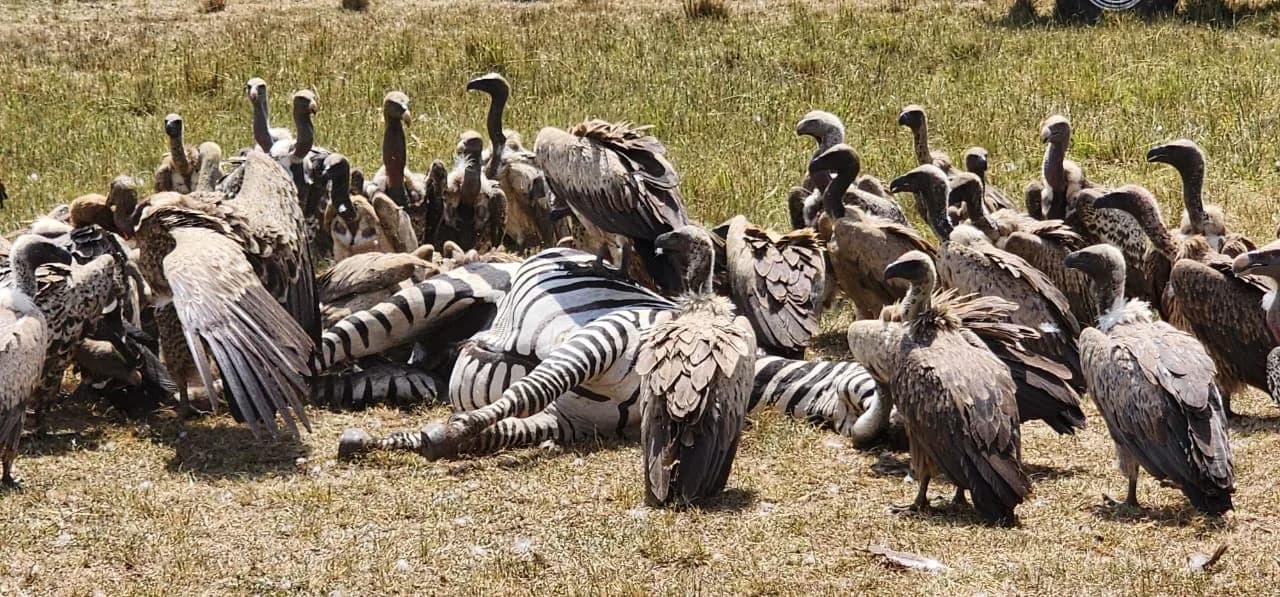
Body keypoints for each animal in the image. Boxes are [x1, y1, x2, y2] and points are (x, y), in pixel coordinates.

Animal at [335, 248, 889, 460]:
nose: (883, 435)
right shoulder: (608, 332)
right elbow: (527, 391)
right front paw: (426, 435)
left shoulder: (571, 423)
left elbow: (506, 426)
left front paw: (421, 438)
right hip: (428, 298)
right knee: (336, 344)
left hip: (427, 359)